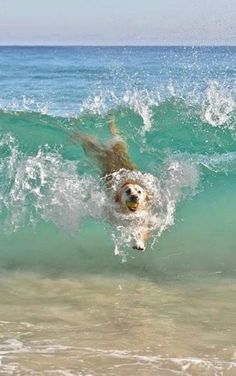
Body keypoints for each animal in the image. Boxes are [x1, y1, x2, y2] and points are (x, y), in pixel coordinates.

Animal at [73, 119, 151, 251]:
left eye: (139, 192)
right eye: (128, 191)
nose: (135, 197)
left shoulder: (144, 219)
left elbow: (141, 230)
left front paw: (139, 242)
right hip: (96, 152)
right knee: (90, 141)